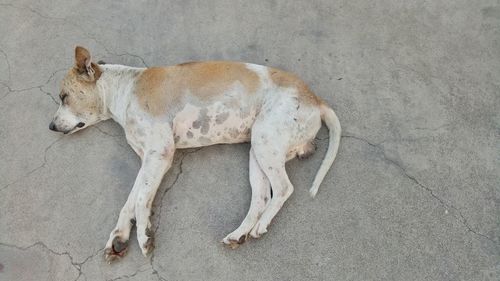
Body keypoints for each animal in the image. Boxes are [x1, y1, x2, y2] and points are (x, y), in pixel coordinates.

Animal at [48, 45, 342, 260]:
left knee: (283, 188)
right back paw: (239, 234)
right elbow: (131, 200)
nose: (50, 126)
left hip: (265, 142)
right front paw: (119, 236)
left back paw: (260, 226)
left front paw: (143, 236)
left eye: (64, 97)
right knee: (261, 198)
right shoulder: (148, 161)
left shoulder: (160, 154)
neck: (124, 90)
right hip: (257, 152)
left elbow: (141, 199)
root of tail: (316, 99)